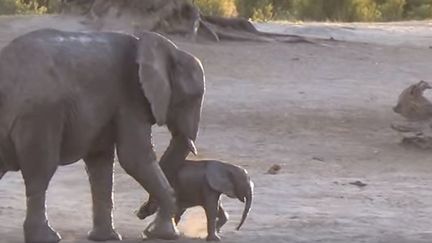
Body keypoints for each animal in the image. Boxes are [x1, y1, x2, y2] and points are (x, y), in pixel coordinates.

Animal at [0, 29, 205, 243]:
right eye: (193, 97)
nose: (140, 213)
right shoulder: (130, 96)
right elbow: (134, 158)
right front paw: (164, 235)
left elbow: (100, 161)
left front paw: (107, 238)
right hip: (39, 114)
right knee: (40, 172)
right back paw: (47, 237)